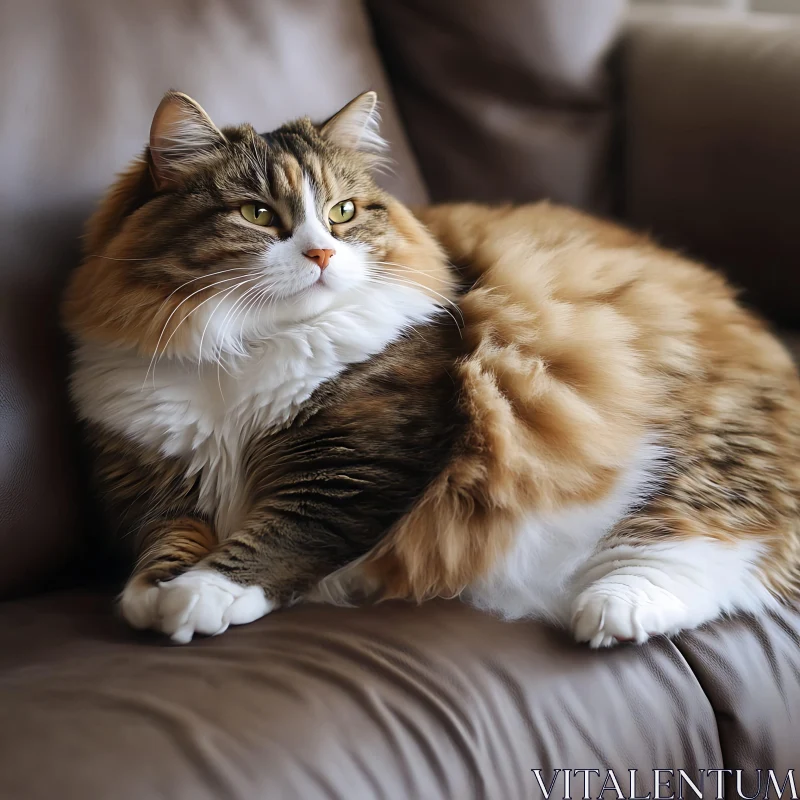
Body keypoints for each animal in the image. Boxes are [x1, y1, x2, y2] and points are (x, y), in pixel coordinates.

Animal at [62, 90, 800, 648]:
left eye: (342, 212)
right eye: (257, 214)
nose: (322, 256)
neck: (242, 349)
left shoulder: (357, 460)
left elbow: (277, 536)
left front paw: (196, 597)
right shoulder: (151, 475)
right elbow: (166, 537)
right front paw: (150, 594)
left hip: (698, 444)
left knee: (720, 540)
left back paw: (615, 611)